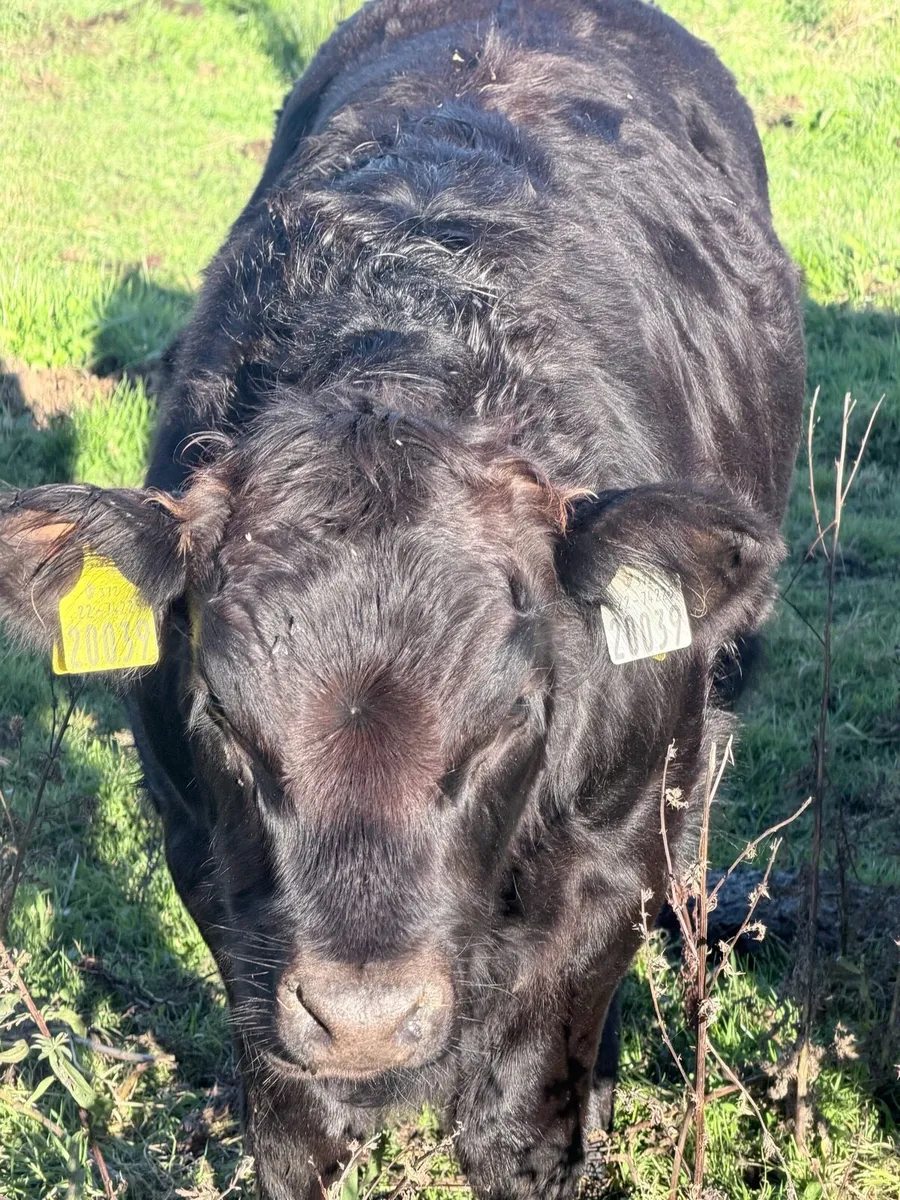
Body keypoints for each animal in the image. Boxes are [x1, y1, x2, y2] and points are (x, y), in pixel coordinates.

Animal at [0, 0, 804, 1196]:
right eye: (222, 716)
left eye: (511, 719)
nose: (367, 1017)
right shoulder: (215, 874)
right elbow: (291, 1129)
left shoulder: (605, 865)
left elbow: (523, 1126)